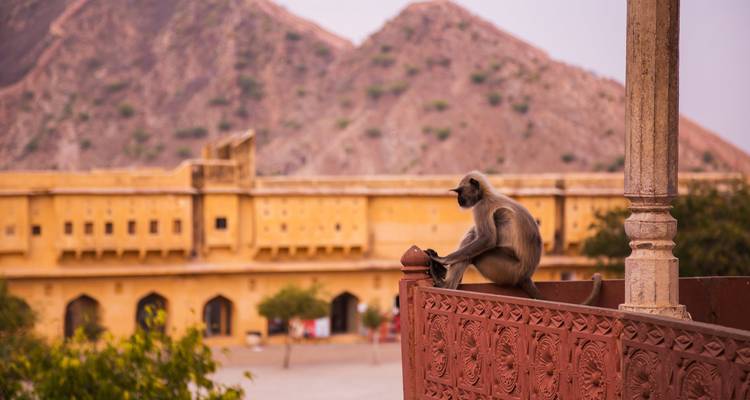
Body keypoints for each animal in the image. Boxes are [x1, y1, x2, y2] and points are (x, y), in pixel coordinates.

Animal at [427, 171, 601, 306]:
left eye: (460, 192)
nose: (458, 200)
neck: (486, 195)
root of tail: (526, 275)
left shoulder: (482, 206)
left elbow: (487, 239)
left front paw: (442, 259)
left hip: (506, 270)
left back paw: (445, 286)